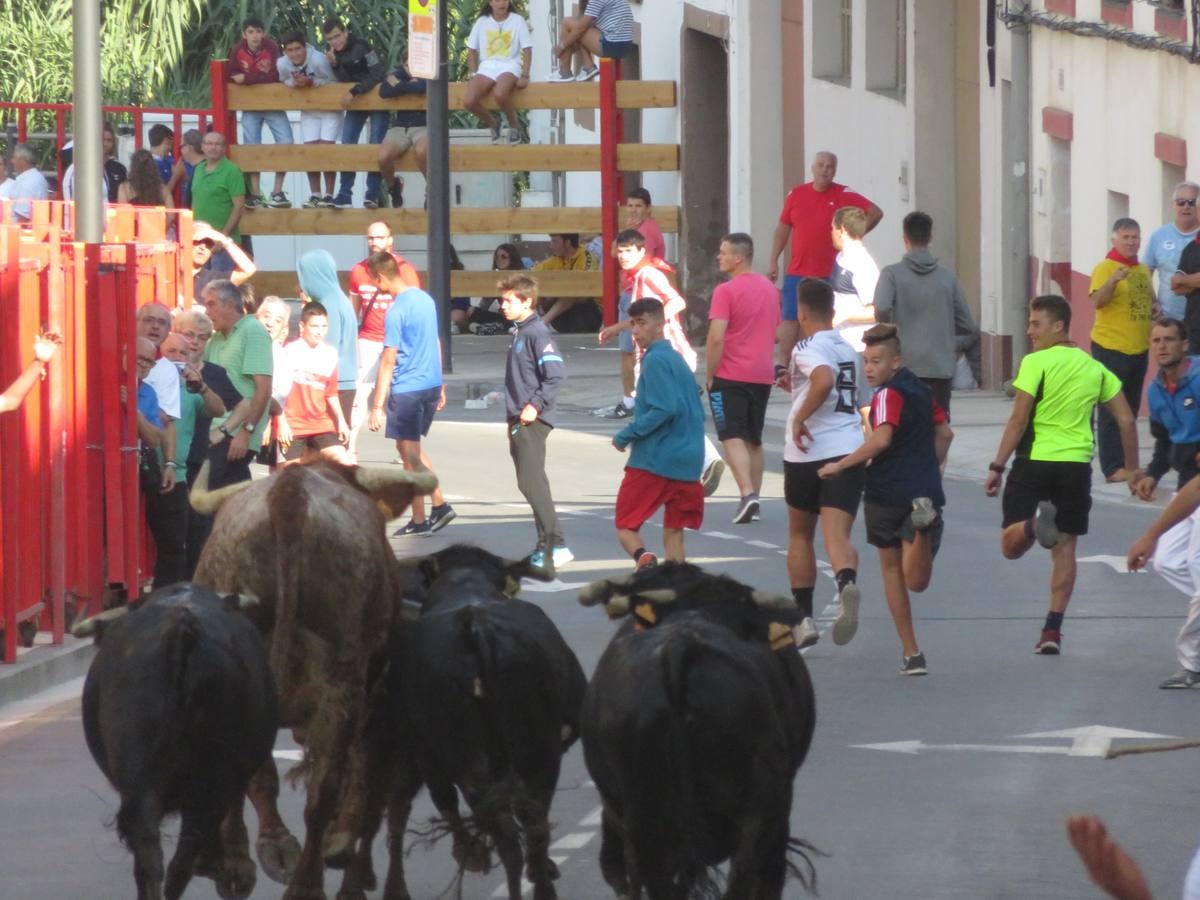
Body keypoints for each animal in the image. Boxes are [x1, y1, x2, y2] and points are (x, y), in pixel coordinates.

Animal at [340, 542, 588, 900]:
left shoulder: (422, 754)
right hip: (535, 752)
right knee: (531, 826)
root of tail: (477, 628)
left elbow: (437, 800)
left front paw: (469, 852)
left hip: (471, 755)